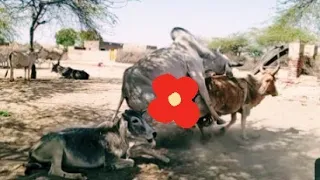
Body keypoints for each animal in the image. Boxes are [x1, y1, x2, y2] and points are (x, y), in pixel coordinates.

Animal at [23, 109, 168, 180]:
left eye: (143, 118)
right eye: (135, 120)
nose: (154, 133)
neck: (118, 135)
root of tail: (32, 148)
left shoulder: (128, 151)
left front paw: (165, 159)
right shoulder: (111, 159)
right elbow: (131, 162)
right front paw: (112, 168)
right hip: (58, 143)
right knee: (54, 171)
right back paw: (78, 176)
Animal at [105, 26, 242, 137]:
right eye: (224, 59)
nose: (232, 71)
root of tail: (124, 89)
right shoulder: (196, 73)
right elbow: (207, 98)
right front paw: (219, 120)